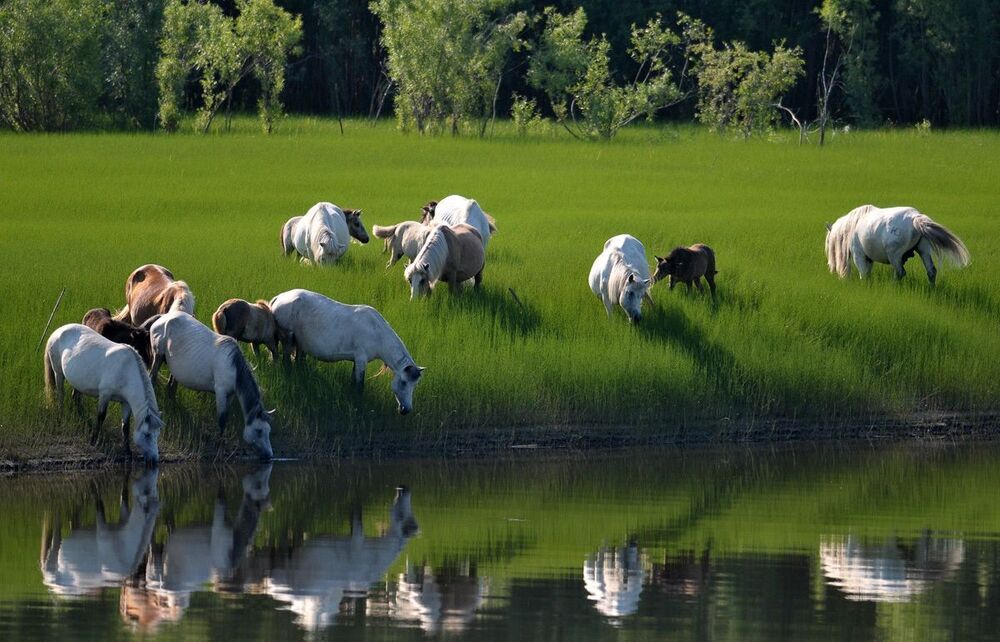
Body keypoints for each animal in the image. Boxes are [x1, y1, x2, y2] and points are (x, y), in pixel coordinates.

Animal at [44, 324, 162, 463]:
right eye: (147, 435)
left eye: (157, 435)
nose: (154, 459)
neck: (126, 371)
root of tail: (58, 330)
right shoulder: (105, 395)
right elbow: (101, 416)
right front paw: (93, 441)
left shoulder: (126, 403)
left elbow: (126, 426)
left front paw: (127, 451)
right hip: (58, 373)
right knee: (60, 395)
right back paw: (60, 416)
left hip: (78, 381)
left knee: (76, 398)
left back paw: (85, 421)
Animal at [148, 311, 274, 460]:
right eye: (259, 431)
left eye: (269, 431)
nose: (269, 455)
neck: (234, 367)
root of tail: (162, 317)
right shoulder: (221, 392)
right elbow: (222, 418)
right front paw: (220, 444)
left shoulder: (230, 395)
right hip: (158, 356)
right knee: (152, 379)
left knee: (171, 387)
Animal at [269, 289, 426, 414]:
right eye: (404, 382)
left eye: (415, 385)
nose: (406, 410)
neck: (377, 332)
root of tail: (278, 297)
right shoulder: (361, 359)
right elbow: (360, 385)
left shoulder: (357, 360)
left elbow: (353, 380)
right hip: (288, 338)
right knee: (286, 361)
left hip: (300, 343)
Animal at [825, 205, 971, 285]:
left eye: (828, 244)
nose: (831, 268)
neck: (851, 227)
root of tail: (915, 218)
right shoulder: (869, 258)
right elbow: (867, 272)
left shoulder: (859, 255)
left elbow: (864, 274)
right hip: (923, 250)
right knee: (931, 271)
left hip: (894, 255)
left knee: (900, 272)